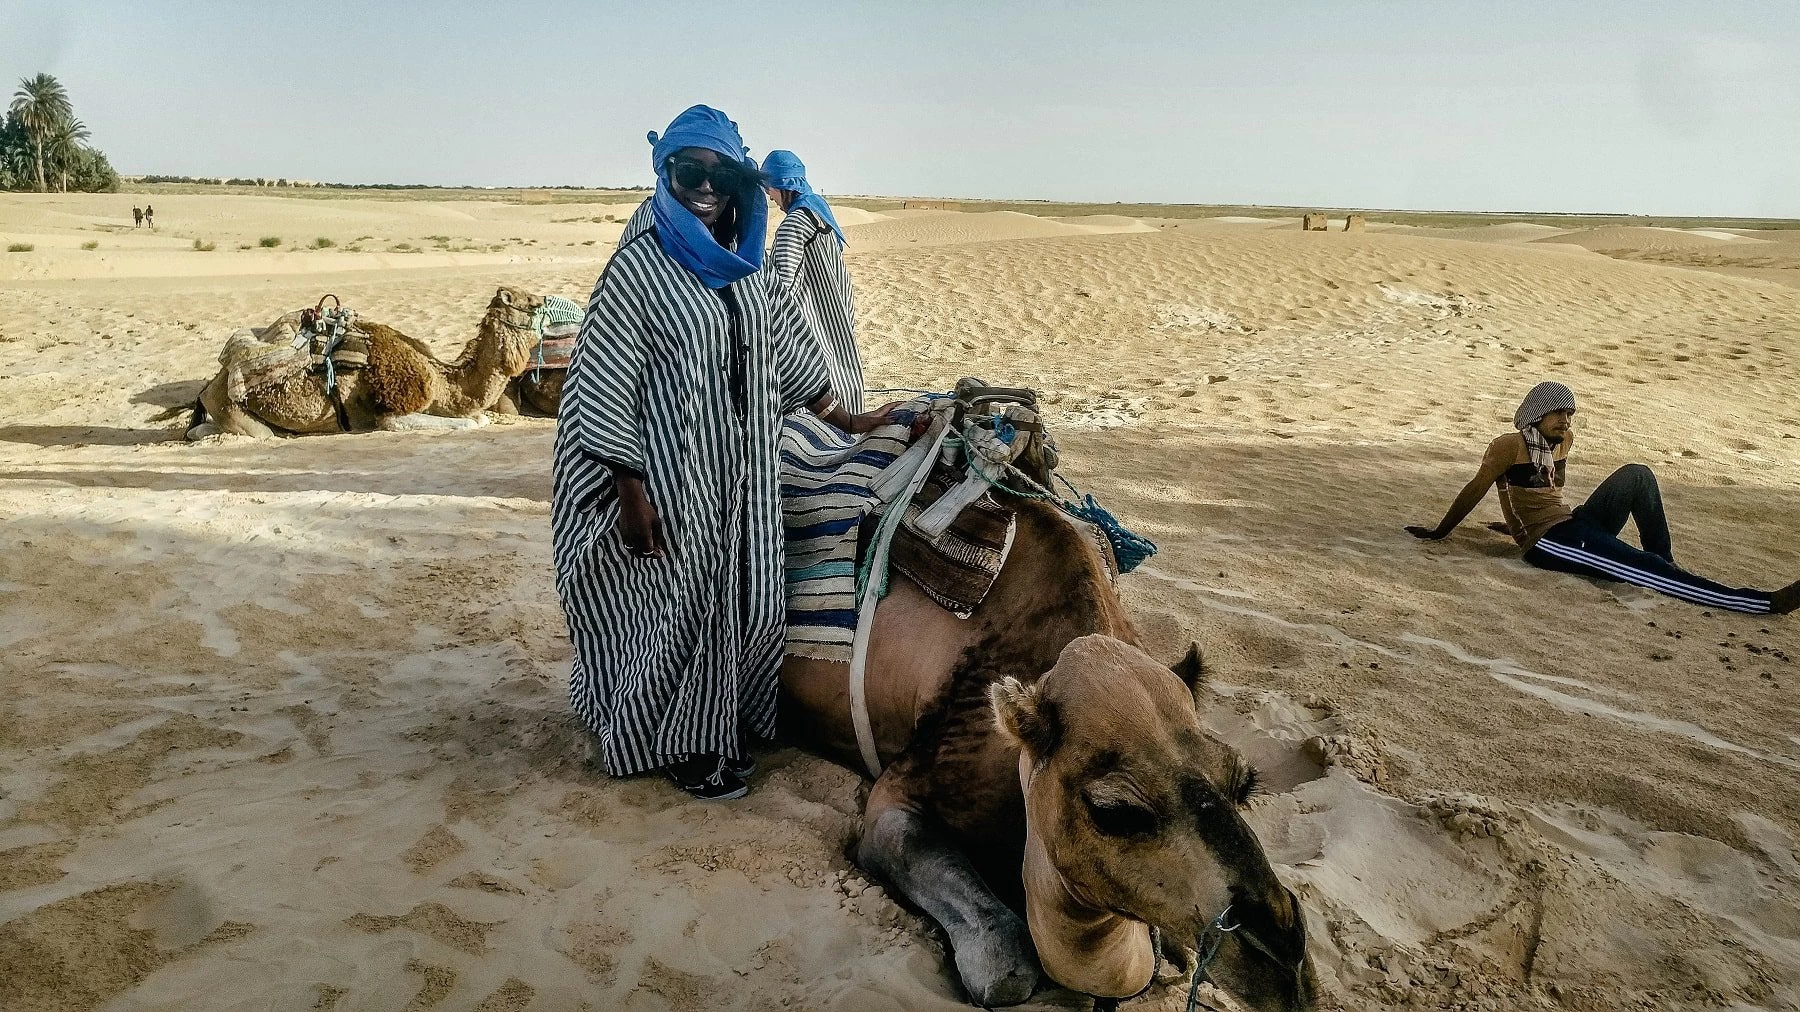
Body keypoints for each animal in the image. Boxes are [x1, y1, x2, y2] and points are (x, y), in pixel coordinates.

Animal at [189, 286, 543, 439]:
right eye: (533, 303)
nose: (544, 300)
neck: (442, 379)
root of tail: (214, 381)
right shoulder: (392, 410)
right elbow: (473, 422)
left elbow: (477, 417)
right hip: (227, 402)